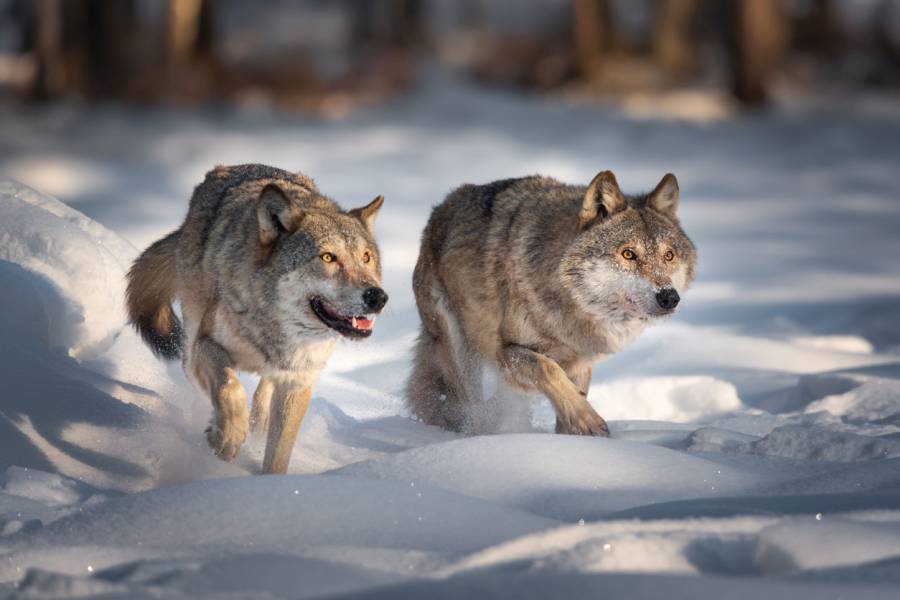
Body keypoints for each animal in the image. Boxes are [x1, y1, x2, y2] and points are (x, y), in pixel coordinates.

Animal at [125, 164, 386, 474]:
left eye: (366, 257)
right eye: (327, 257)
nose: (378, 297)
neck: (273, 329)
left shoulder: (297, 381)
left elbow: (278, 454)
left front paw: (266, 480)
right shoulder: (206, 345)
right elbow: (229, 387)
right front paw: (227, 438)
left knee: (263, 393)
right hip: (189, 350)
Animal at [406, 169, 696, 436]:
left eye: (669, 255)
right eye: (628, 254)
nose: (669, 297)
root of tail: (440, 209)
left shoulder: (580, 363)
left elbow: (571, 393)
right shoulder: (508, 353)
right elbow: (549, 370)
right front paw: (588, 422)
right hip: (461, 352)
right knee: (471, 409)